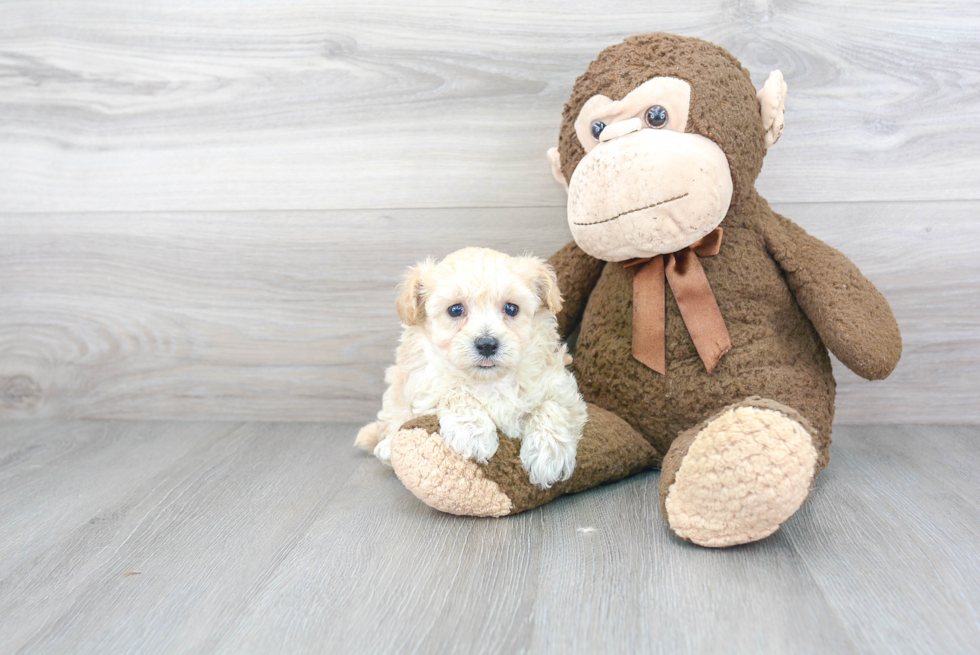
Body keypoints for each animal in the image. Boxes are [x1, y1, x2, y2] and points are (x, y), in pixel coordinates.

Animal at [356, 249, 584, 490]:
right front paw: (474, 433)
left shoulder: (560, 384)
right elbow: (455, 390)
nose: (487, 344)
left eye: (511, 308)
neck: (490, 381)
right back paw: (386, 447)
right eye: (456, 310)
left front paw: (549, 454)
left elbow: (554, 407)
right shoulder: (426, 381)